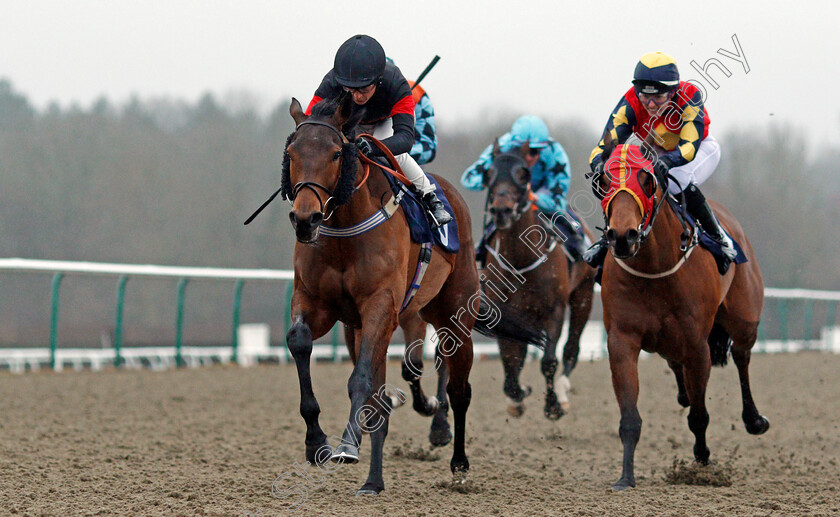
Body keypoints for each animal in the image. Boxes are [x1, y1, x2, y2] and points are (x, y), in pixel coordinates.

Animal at [278, 94, 548, 494]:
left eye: (335, 154)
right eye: (292, 153)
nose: (305, 219)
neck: (344, 230)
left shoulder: (382, 305)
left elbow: (363, 377)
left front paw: (346, 445)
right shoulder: (317, 303)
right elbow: (300, 342)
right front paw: (317, 442)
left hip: (454, 314)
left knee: (459, 390)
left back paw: (457, 460)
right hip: (372, 323)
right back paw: (374, 472)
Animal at [480, 142, 596, 420]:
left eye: (524, 174)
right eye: (489, 173)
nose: (502, 210)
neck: (520, 260)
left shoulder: (554, 310)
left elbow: (548, 361)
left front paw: (553, 405)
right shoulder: (505, 313)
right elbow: (511, 361)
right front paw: (517, 395)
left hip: (584, 295)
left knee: (571, 348)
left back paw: (563, 391)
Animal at [592, 133, 772, 488]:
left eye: (647, 180)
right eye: (604, 181)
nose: (622, 237)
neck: (654, 267)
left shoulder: (697, 345)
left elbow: (699, 416)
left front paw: (702, 461)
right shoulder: (621, 339)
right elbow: (629, 417)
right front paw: (625, 477)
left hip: (744, 318)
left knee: (742, 357)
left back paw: (754, 419)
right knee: (678, 366)